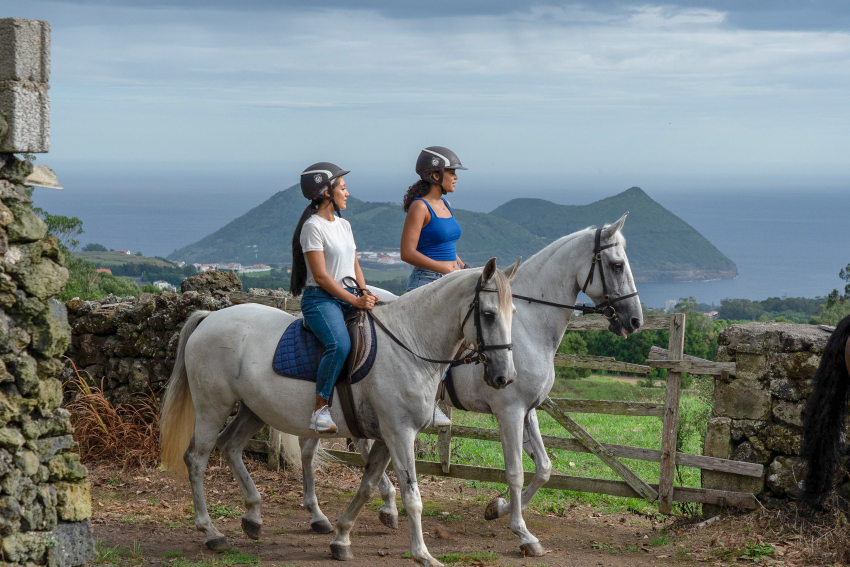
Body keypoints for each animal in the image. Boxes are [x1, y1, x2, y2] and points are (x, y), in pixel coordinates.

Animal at [158, 258, 516, 567]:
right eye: (488, 313)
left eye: (512, 311)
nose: (505, 377)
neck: (410, 345)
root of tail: (208, 318)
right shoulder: (400, 434)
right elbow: (412, 496)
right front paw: (423, 555)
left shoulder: (386, 437)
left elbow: (368, 485)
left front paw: (342, 538)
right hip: (212, 407)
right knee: (197, 458)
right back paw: (211, 532)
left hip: (253, 410)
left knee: (231, 446)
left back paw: (254, 517)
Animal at [294, 215, 640, 556]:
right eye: (617, 265)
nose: (635, 320)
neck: (528, 327)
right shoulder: (509, 411)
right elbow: (515, 472)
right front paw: (522, 533)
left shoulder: (528, 410)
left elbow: (543, 468)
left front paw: (497, 508)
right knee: (314, 448)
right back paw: (324, 515)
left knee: (347, 446)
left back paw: (377, 509)